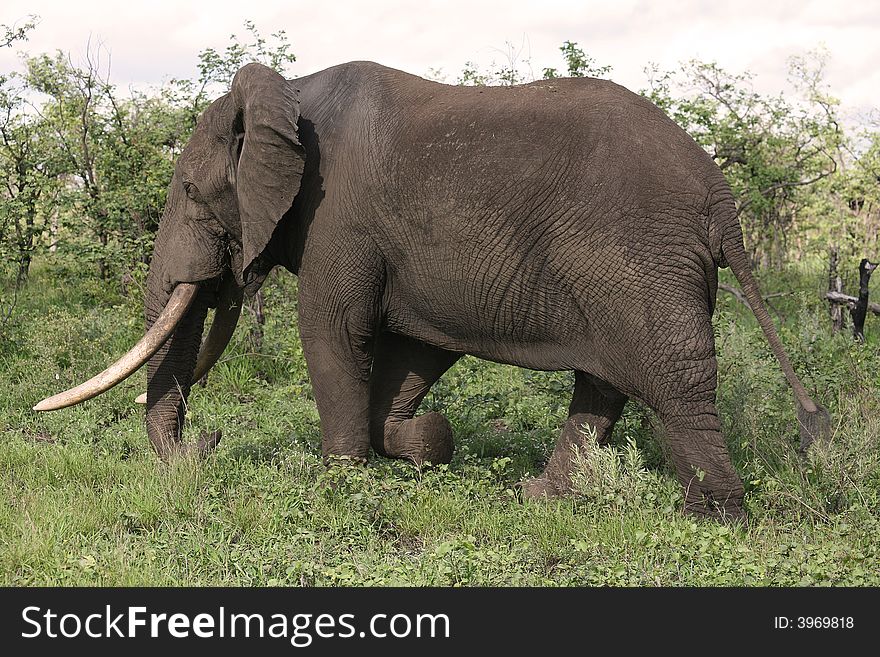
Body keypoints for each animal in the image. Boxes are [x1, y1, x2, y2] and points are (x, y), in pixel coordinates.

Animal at [36, 62, 832, 524]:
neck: (286, 96)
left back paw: (715, 516)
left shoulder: (338, 213)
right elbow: (414, 349)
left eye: (191, 193)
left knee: (674, 379)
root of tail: (722, 201)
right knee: (604, 382)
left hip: (640, 260)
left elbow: (332, 331)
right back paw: (540, 499)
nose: (206, 445)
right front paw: (428, 444)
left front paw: (340, 481)